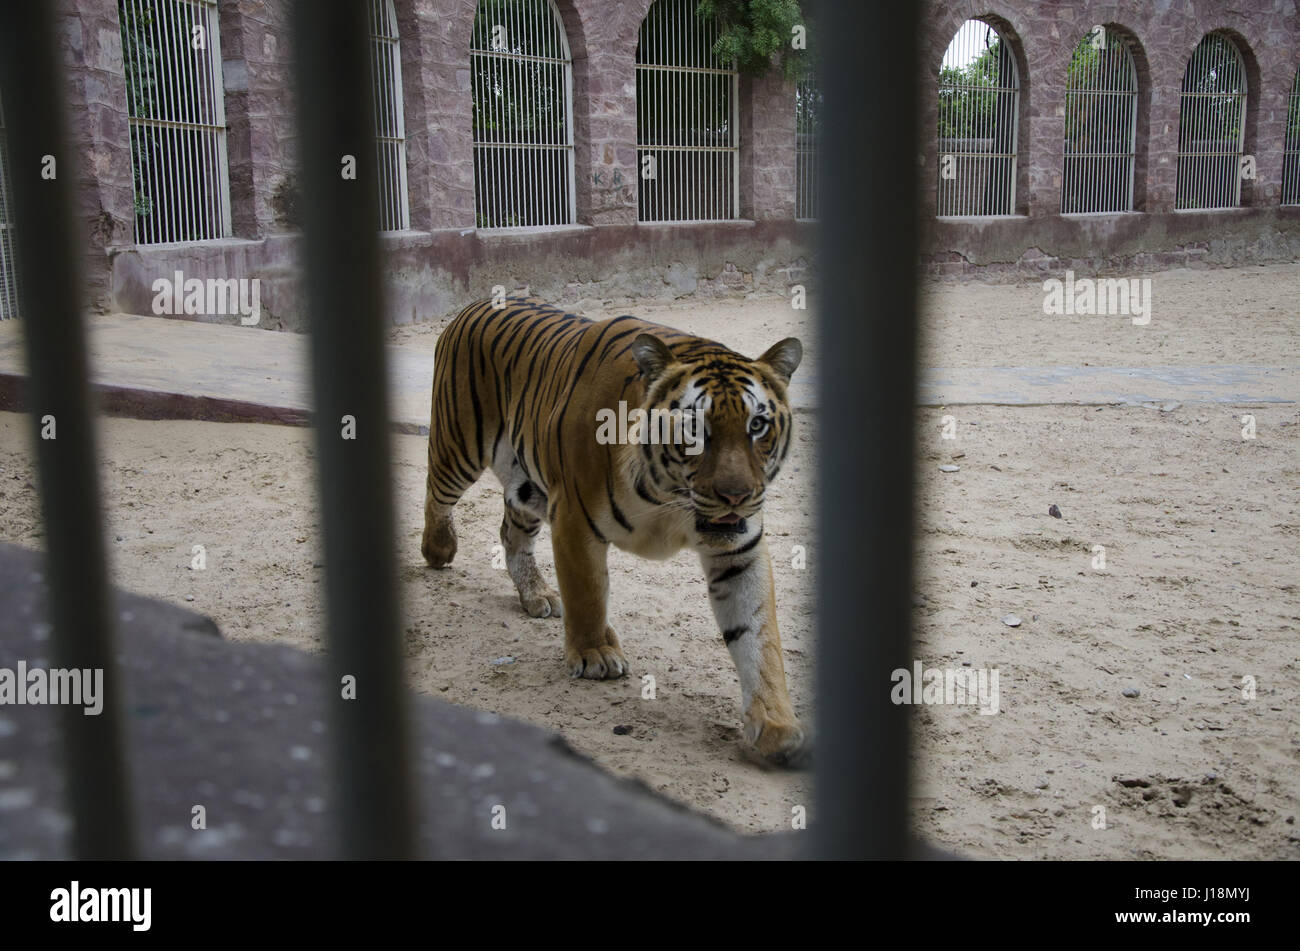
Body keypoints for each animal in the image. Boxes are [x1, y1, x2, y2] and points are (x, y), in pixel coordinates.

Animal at [423, 297, 811, 763]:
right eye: (696, 428)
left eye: (757, 426)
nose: (736, 496)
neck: (670, 497)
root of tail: (478, 302)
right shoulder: (574, 518)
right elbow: (588, 594)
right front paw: (594, 654)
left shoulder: (739, 550)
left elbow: (759, 635)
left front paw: (775, 724)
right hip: (458, 448)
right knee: (436, 494)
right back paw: (439, 549)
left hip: (527, 485)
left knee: (510, 534)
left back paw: (538, 595)